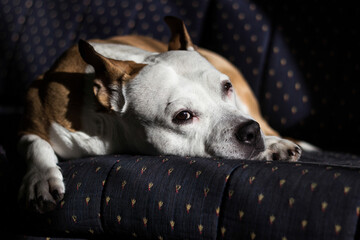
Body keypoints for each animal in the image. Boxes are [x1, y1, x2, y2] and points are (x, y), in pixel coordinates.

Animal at [18, 16, 302, 212]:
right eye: (183, 116)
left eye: (226, 87)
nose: (251, 131)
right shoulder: (34, 115)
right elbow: (34, 143)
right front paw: (42, 178)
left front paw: (271, 145)